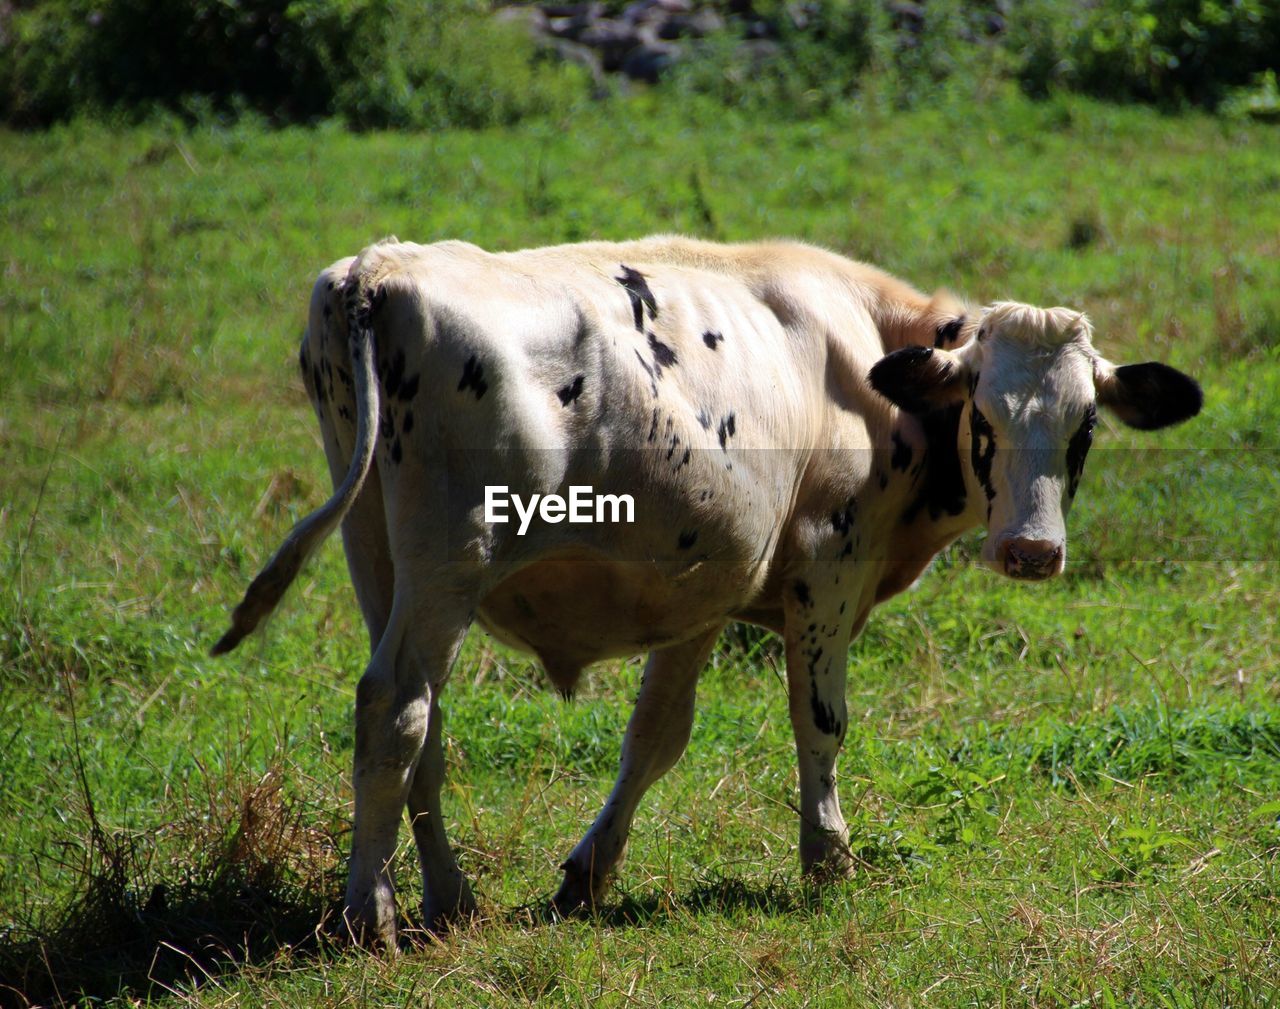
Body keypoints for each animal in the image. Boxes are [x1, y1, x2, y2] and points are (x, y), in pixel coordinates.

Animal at [209, 236, 1198, 947]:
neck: (866, 353)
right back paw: (368, 913)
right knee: (396, 710)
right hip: (449, 558)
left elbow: (655, 737)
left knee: (426, 727)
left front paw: (591, 872)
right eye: (983, 417)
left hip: (376, 551)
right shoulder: (828, 565)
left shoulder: (702, 588)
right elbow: (820, 722)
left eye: (1085, 426)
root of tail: (379, 268)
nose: (1031, 550)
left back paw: (449, 896)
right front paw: (828, 859)